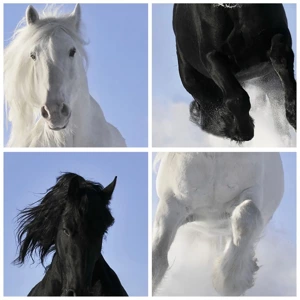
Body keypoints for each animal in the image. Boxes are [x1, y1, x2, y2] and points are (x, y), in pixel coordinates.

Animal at [172, 4, 296, 141]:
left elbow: (280, 58)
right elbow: (236, 98)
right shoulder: (212, 57)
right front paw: (241, 129)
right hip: (196, 84)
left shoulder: (279, 33)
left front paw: (293, 114)